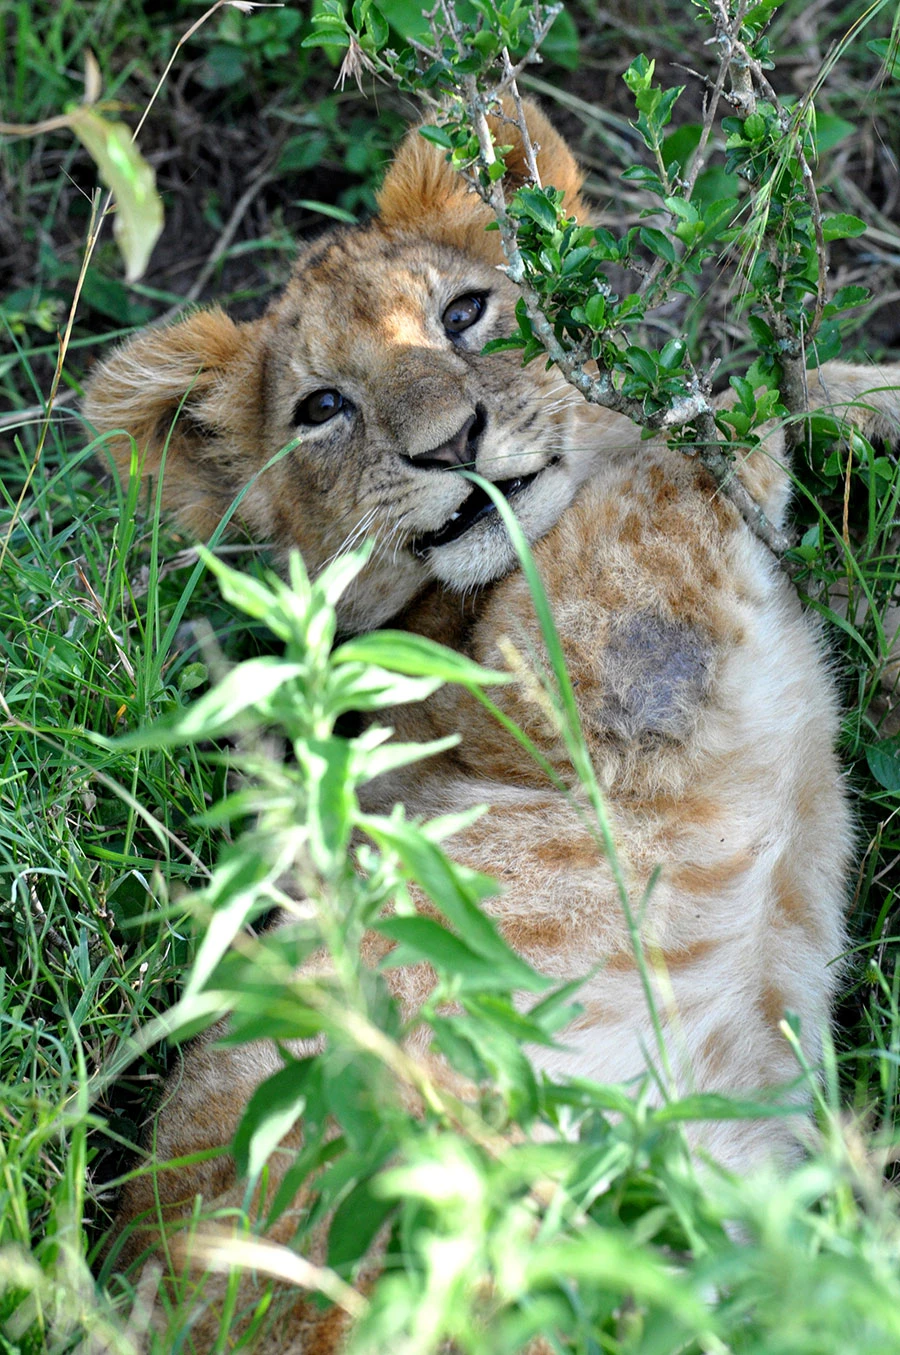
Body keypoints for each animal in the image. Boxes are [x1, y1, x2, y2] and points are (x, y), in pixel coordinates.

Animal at [84, 101, 900, 1351]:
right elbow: (698, 434)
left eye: (465, 313)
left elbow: (747, 395)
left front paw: (865, 393)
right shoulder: (573, 668)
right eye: (324, 408)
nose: (453, 443)